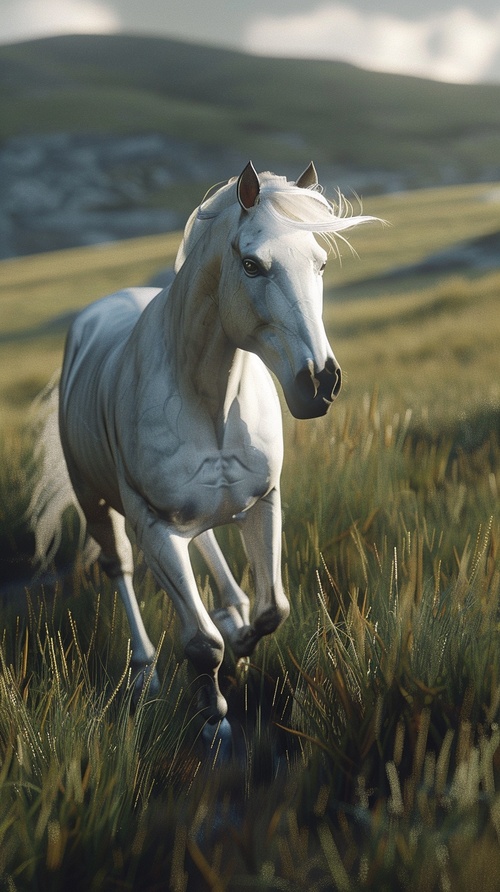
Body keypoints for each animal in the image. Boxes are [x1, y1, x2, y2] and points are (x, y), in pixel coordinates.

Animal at [29, 164, 376, 728]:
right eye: (252, 265)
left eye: (321, 262)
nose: (321, 382)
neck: (208, 400)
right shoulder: (153, 526)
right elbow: (201, 645)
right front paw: (216, 720)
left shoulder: (263, 502)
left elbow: (273, 610)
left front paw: (242, 636)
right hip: (96, 504)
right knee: (121, 569)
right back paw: (145, 672)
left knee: (207, 542)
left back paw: (229, 611)